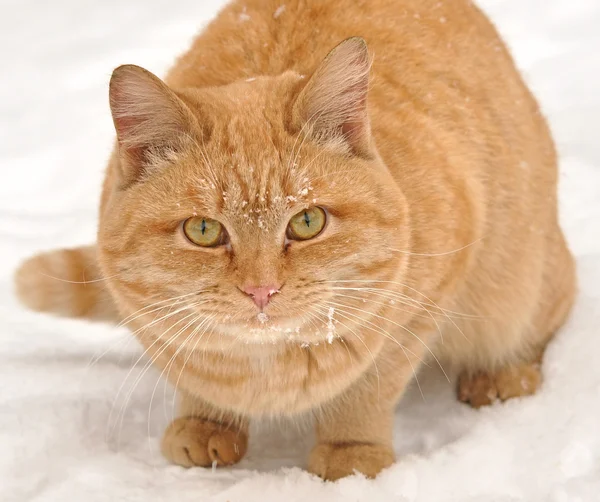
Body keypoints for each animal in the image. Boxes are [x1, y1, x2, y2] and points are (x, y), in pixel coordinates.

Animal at [15, 0, 576, 480]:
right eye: (203, 231)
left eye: (307, 222)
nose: (261, 290)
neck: (270, 367)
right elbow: (194, 377)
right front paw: (206, 422)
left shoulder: (424, 301)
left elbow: (369, 387)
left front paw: (350, 453)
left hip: (522, 288)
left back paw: (502, 375)